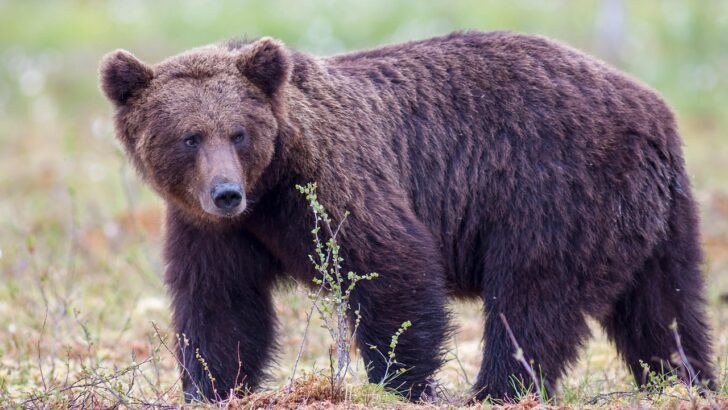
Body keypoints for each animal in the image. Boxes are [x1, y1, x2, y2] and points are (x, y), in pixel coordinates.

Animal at [99, 31, 715, 402]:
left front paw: (404, 383)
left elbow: (392, 269)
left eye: (238, 132)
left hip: (554, 192)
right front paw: (213, 387)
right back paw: (685, 383)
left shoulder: (335, 180)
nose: (225, 192)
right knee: (664, 309)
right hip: (656, 219)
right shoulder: (214, 230)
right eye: (189, 137)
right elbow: (221, 309)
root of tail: (652, 109)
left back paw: (495, 391)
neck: (270, 187)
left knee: (532, 301)